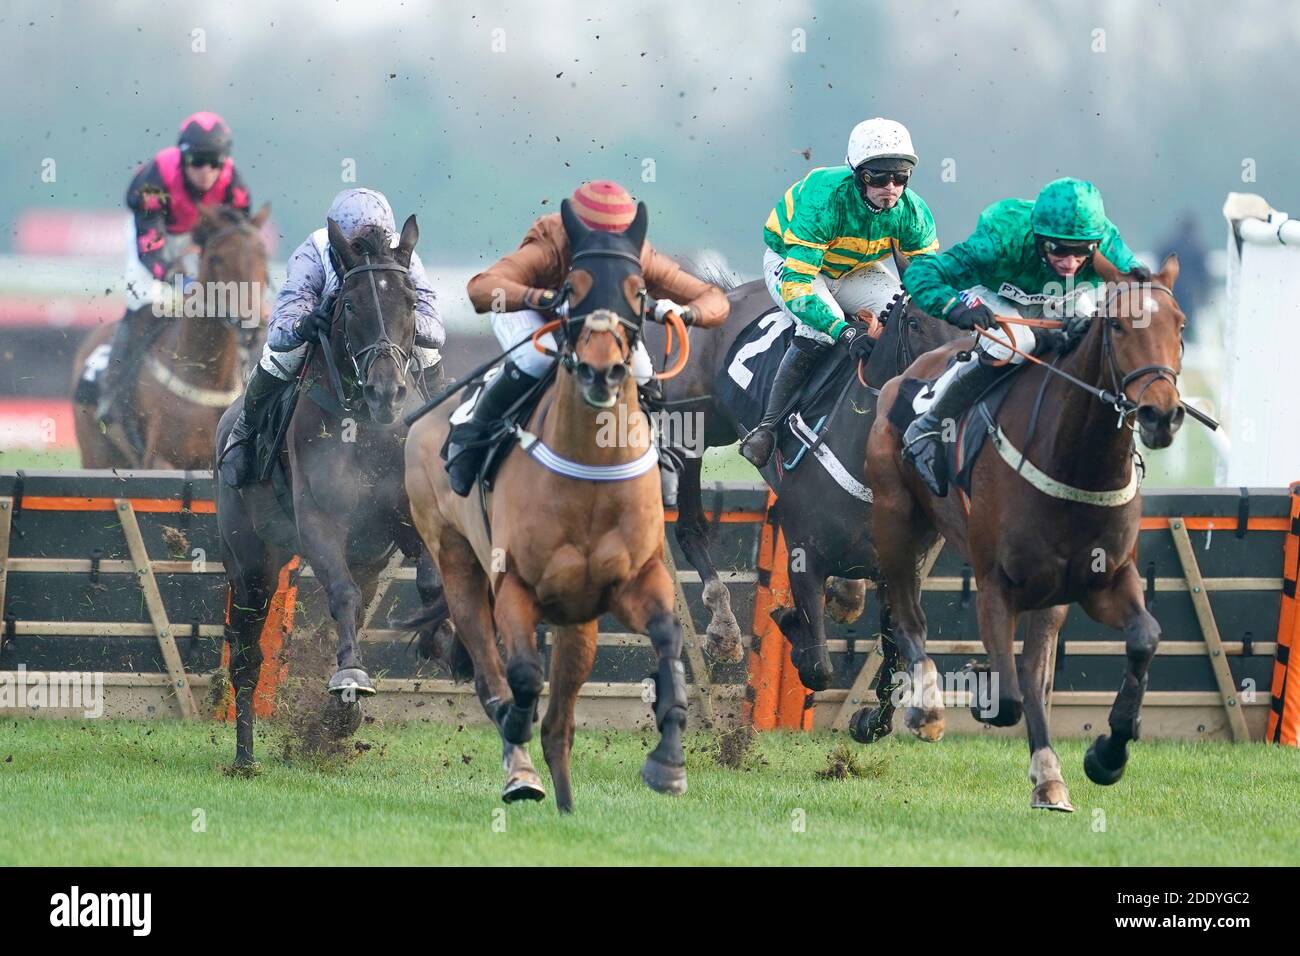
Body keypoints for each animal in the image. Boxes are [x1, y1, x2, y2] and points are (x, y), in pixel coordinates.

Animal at [72, 204, 270, 468]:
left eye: (263, 255)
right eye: (217, 257)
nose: (253, 323)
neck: (205, 377)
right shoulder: (163, 459)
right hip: (98, 454)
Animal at [405, 197, 691, 811]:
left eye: (639, 289)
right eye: (572, 287)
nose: (603, 369)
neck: (591, 473)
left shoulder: (631, 580)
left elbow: (667, 638)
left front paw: (668, 759)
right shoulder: (515, 584)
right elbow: (519, 679)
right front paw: (516, 731)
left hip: (578, 621)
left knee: (560, 723)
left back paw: (564, 803)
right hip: (457, 563)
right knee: (492, 678)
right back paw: (521, 774)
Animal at [863, 252, 1190, 806]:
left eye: (1181, 326)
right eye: (1118, 326)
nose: (1160, 415)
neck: (1076, 461)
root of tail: (902, 378)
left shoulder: (1101, 580)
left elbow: (1142, 639)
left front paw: (1107, 755)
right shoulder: (997, 584)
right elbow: (1011, 695)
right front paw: (981, 690)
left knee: (1034, 673)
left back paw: (1050, 776)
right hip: (895, 521)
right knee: (908, 617)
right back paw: (926, 709)